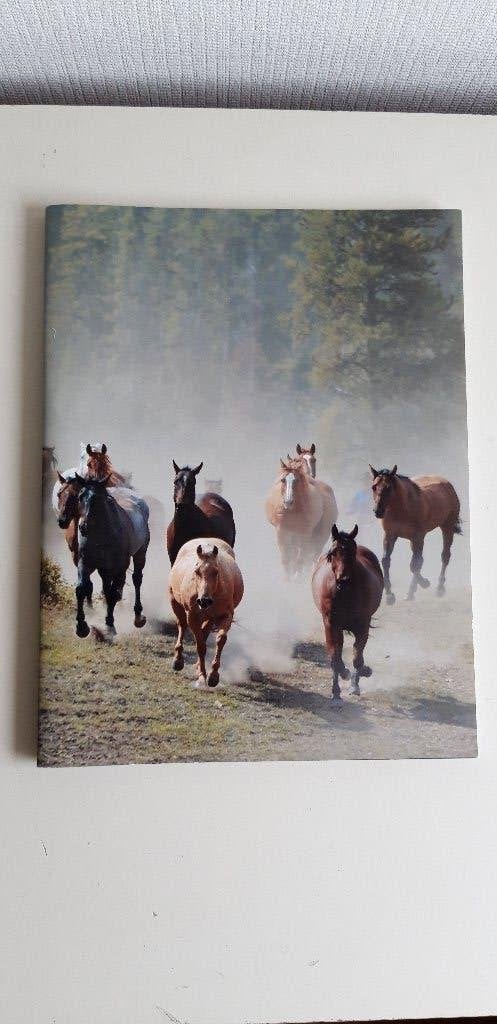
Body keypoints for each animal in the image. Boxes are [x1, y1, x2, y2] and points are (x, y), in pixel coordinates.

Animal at [72, 475, 150, 638]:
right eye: (80, 496)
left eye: (97, 499)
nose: (83, 527)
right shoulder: (85, 562)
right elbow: (82, 588)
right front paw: (81, 627)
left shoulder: (120, 567)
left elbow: (113, 594)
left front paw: (109, 625)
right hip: (105, 569)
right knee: (107, 587)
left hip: (140, 554)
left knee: (136, 579)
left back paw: (138, 617)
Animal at [169, 538, 244, 688]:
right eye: (197, 571)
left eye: (216, 571)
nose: (204, 601)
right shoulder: (192, 616)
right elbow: (200, 646)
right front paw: (202, 676)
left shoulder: (225, 616)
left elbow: (220, 640)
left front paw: (213, 676)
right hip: (175, 602)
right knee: (182, 625)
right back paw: (178, 661)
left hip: (209, 618)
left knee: (204, 632)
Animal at [312, 524, 384, 704]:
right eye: (332, 553)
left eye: (352, 552)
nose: (342, 580)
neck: (345, 594)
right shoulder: (330, 624)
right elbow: (335, 657)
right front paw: (337, 689)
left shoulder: (363, 624)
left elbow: (357, 657)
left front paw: (361, 675)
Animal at [369, 464, 461, 603]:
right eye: (374, 487)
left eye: (388, 487)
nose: (378, 511)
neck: (402, 508)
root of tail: (447, 484)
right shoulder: (390, 536)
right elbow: (386, 561)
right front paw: (390, 595)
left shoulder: (418, 537)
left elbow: (414, 565)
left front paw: (424, 583)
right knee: (419, 559)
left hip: (447, 527)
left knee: (444, 556)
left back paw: (438, 588)